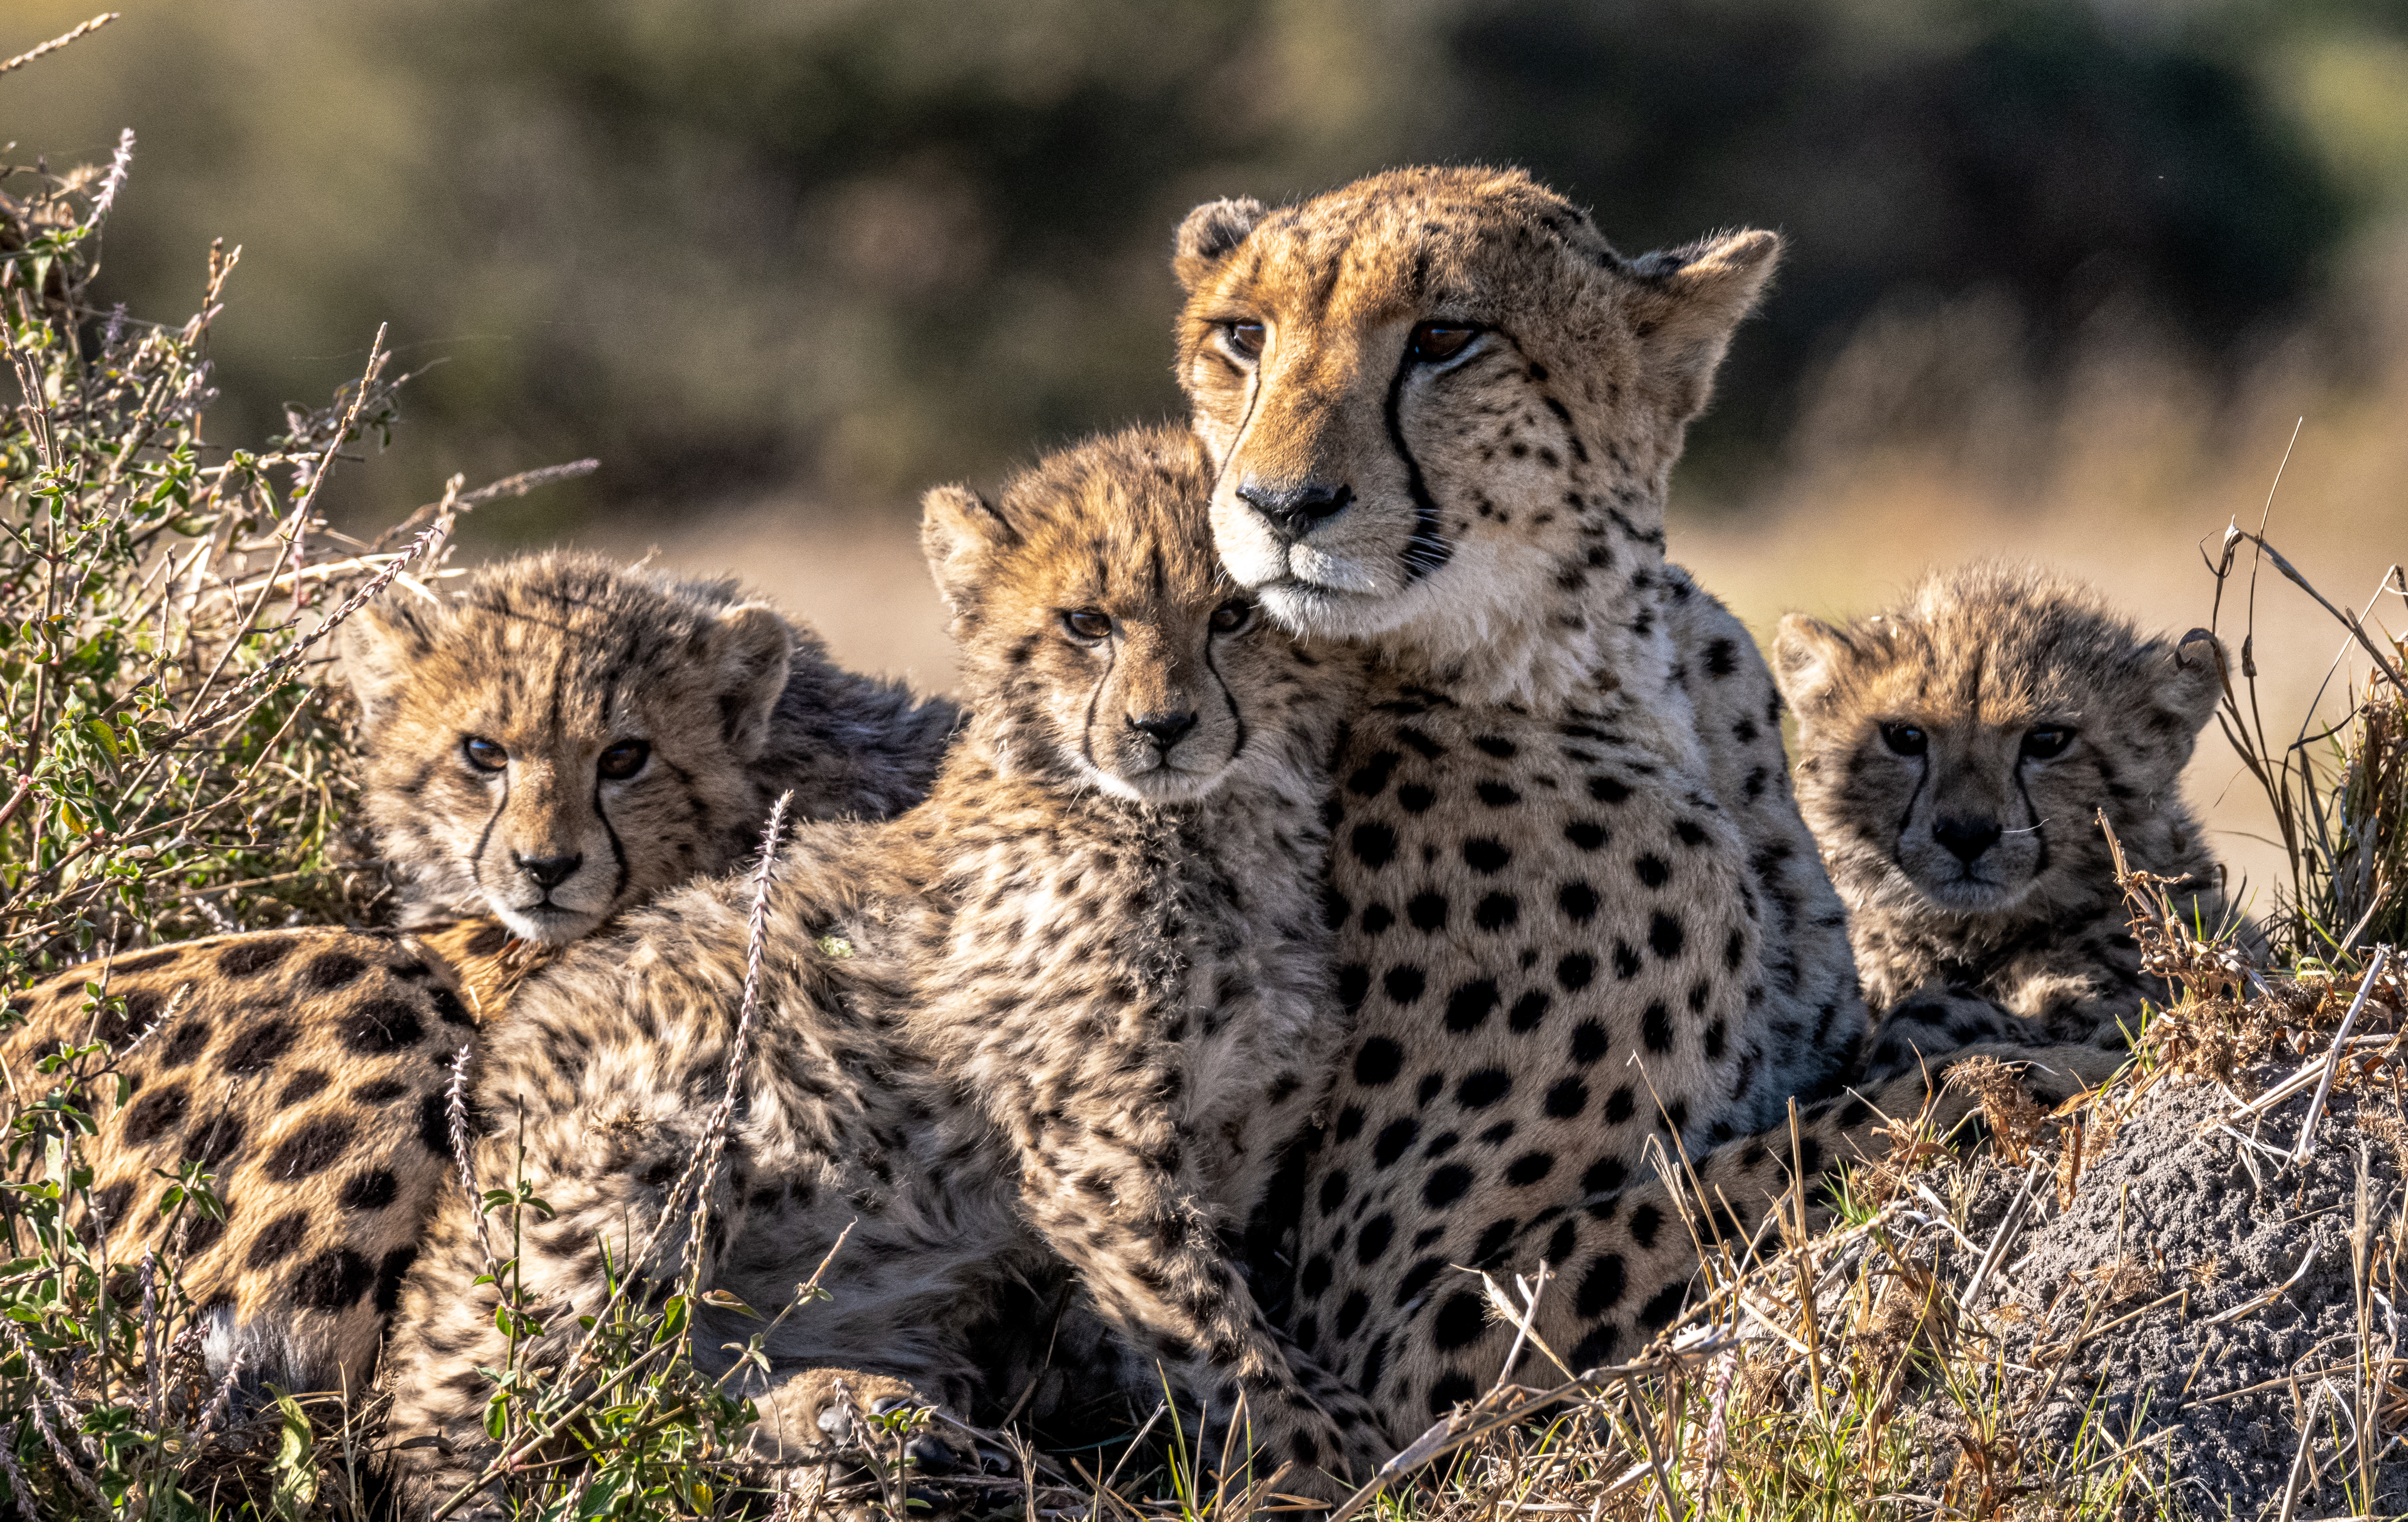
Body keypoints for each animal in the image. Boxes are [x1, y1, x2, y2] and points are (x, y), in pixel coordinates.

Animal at [379, 427, 1392, 1517]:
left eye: (1236, 616)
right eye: (1088, 623)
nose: (1162, 727)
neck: (1203, 832)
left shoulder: (1225, 1151)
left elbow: (1178, 1325)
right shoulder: (1100, 1150)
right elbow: (1217, 1329)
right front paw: (1345, 1458)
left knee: (693, 1394)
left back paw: (853, 1405)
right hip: (646, 1145)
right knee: (562, 1413)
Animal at [1170, 165, 2124, 1440]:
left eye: (1445, 338)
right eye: (1242, 335)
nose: (1279, 504)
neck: (1598, 662)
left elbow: (1883, 1052)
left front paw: (2032, 1014)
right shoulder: (1395, 1349)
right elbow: (1775, 1158)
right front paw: (2037, 1069)